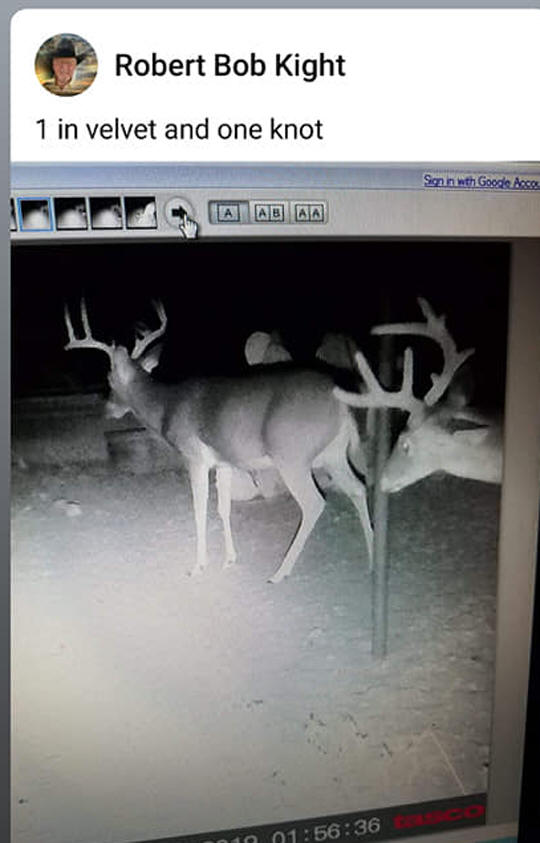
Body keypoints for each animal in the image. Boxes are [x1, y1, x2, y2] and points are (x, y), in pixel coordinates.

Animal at [63, 300, 374, 583]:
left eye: (109, 379)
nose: (106, 409)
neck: (166, 407)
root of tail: (343, 405)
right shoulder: (224, 462)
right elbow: (223, 508)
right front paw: (230, 559)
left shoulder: (194, 456)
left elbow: (199, 510)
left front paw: (198, 566)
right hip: (333, 454)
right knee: (358, 488)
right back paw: (371, 554)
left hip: (292, 455)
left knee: (315, 503)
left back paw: (280, 572)